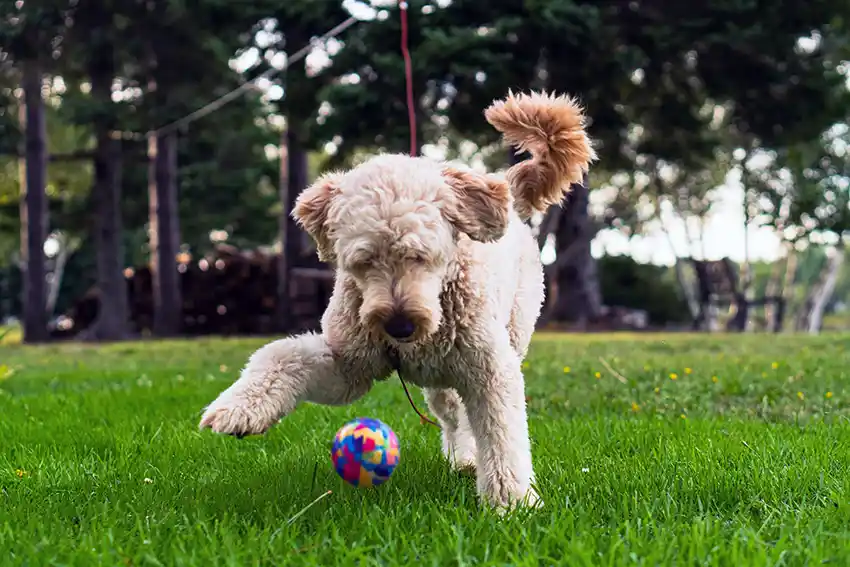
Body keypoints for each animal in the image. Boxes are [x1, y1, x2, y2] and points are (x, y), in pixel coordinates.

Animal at [201, 92, 592, 510]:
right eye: (363, 261)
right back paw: (463, 458)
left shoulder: (490, 370)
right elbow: (281, 355)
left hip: (511, 332)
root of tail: (505, 188)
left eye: (421, 255)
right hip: (440, 380)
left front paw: (511, 503)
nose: (399, 326)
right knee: (453, 414)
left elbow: (502, 435)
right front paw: (238, 409)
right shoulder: (349, 367)